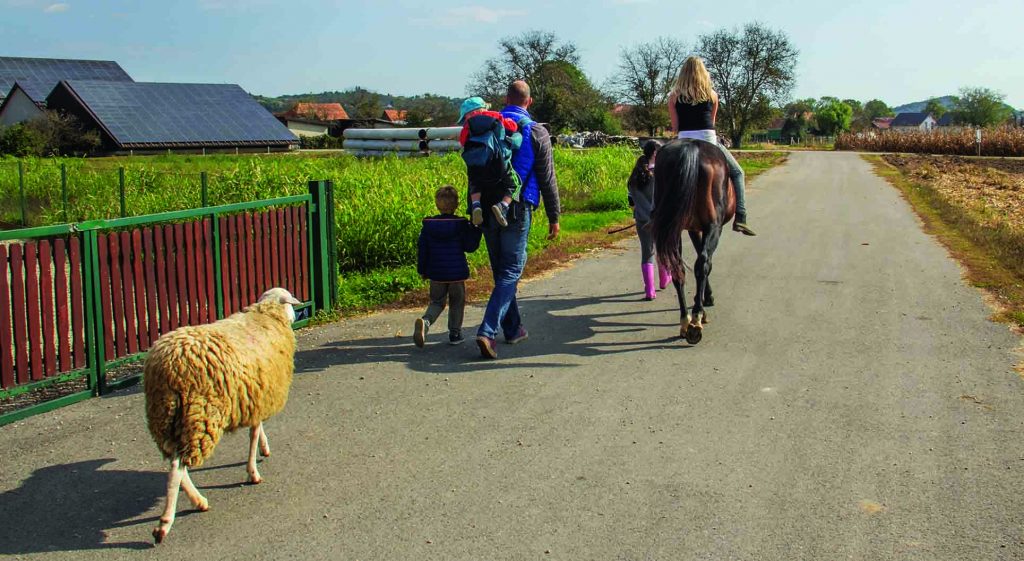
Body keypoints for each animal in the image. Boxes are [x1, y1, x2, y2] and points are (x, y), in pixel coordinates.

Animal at [146, 286, 301, 540]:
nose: (295, 317)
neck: (267, 315)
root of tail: (167, 368)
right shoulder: (260, 394)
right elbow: (253, 433)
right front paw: (253, 472)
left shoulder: (255, 393)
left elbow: (258, 429)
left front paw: (264, 448)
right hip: (201, 415)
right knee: (178, 466)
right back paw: (165, 523)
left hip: (165, 417)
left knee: (174, 461)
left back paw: (198, 501)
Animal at [651, 138, 733, 343]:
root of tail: (691, 148)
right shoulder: (706, 229)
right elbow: (705, 262)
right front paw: (705, 301)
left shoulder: (692, 229)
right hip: (713, 226)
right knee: (703, 263)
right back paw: (696, 321)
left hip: (672, 228)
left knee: (678, 268)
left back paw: (685, 321)